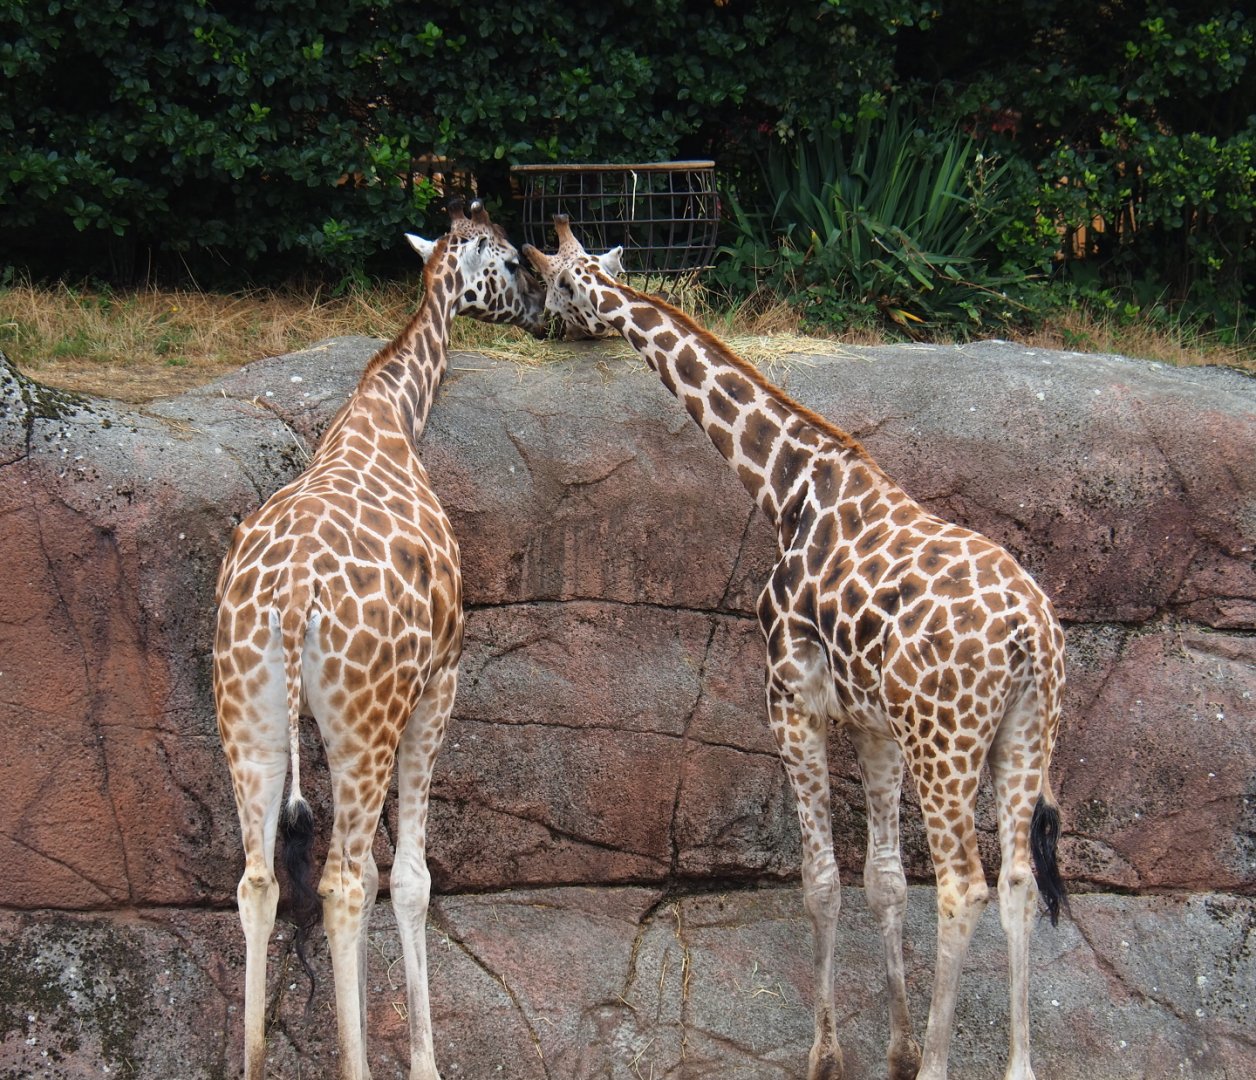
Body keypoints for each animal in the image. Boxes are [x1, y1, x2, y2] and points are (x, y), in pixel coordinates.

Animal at [213, 199, 546, 1080]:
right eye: (509, 260)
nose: (538, 306)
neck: (388, 416)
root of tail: (292, 600)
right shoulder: (441, 683)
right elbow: (411, 879)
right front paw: (425, 1060)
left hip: (250, 717)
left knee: (259, 883)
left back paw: (256, 1060)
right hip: (362, 725)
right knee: (341, 884)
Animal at [525, 217, 1067, 1080]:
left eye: (552, 283)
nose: (539, 325)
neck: (788, 487)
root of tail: (1033, 636)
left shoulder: (789, 698)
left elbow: (820, 880)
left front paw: (829, 1054)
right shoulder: (876, 725)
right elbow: (882, 880)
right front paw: (896, 1048)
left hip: (946, 739)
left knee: (963, 885)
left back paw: (944, 1064)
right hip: (1023, 731)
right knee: (1016, 879)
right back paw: (1017, 1066)